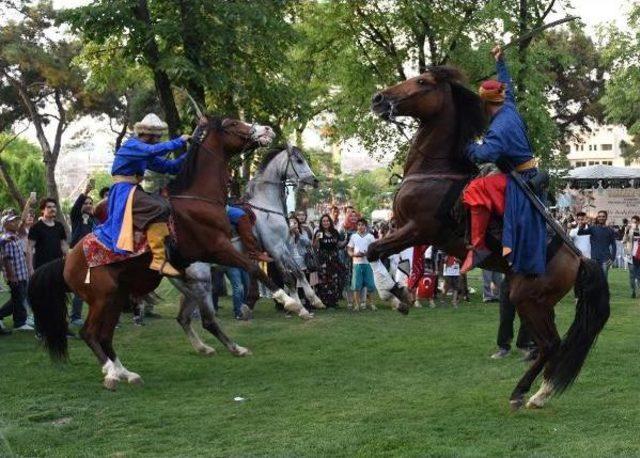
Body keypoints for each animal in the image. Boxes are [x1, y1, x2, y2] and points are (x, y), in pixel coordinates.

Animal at [27, 117, 302, 390]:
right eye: (232, 123)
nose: (267, 129)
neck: (198, 200)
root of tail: (66, 260)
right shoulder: (218, 247)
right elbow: (255, 268)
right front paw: (291, 302)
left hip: (116, 297)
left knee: (105, 336)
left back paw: (127, 373)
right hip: (103, 297)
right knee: (90, 333)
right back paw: (112, 373)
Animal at [368, 67, 608, 412]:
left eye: (422, 82)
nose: (379, 99)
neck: (433, 171)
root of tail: (578, 258)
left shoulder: (418, 229)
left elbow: (373, 251)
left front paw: (395, 294)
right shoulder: (406, 232)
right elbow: (384, 256)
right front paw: (403, 293)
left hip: (527, 298)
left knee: (551, 344)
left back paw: (523, 392)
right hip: (538, 302)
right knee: (551, 345)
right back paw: (541, 392)